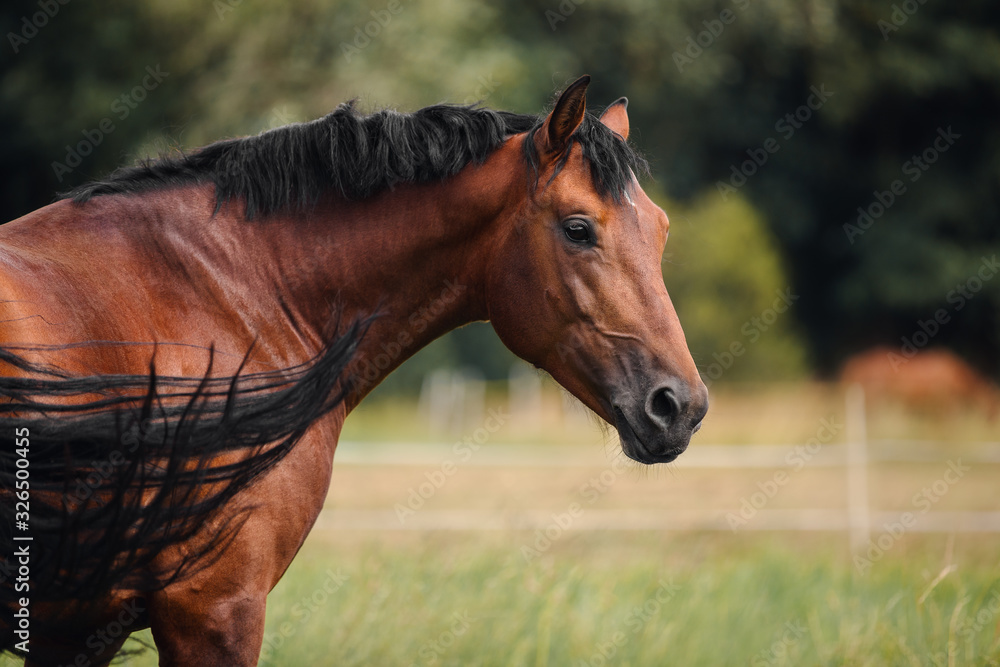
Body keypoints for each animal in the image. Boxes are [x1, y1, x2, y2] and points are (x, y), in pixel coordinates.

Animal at [0, 75, 708, 664]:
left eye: (663, 231)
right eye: (579, 228)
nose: (680, 406)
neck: (233, 296)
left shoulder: (81, 629)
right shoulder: (213, 607)